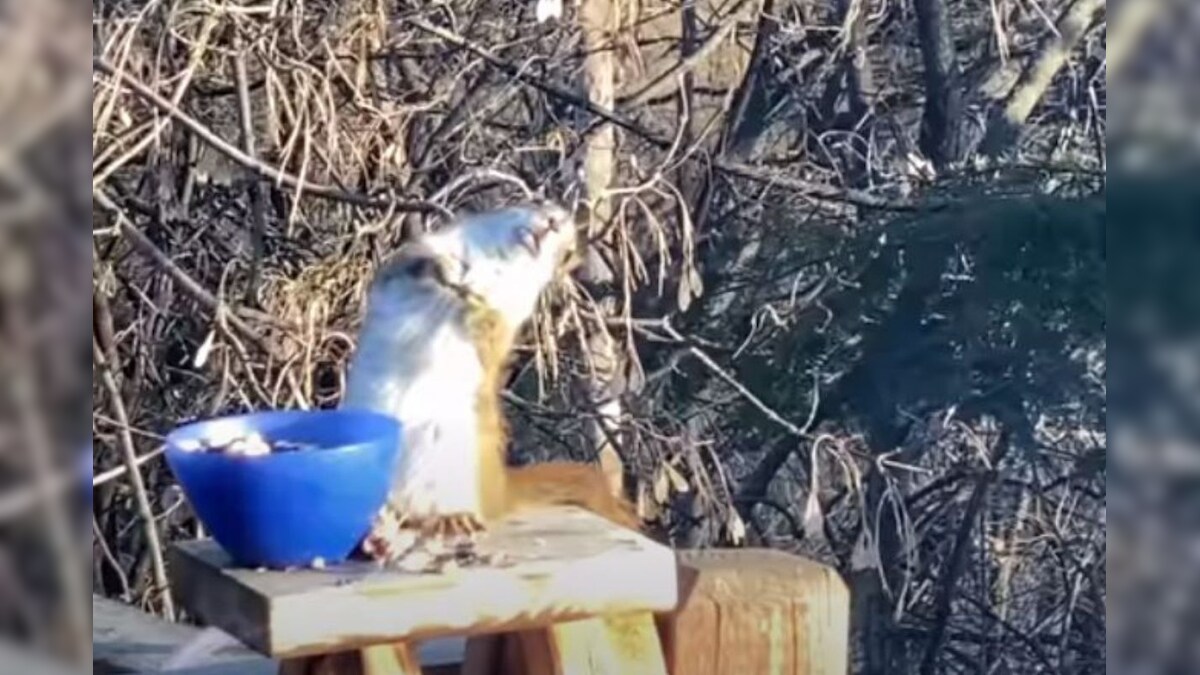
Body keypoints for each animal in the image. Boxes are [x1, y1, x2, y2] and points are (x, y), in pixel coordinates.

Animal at [340, 202, 638, 555]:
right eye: (538, 203)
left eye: (565, 254)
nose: (554, 223)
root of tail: (498, 488)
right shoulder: (416, 258)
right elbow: (416, 267)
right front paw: (446, 278)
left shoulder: (509, 314)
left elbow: (489, 327)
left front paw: (473, 306)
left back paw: (447, 522)